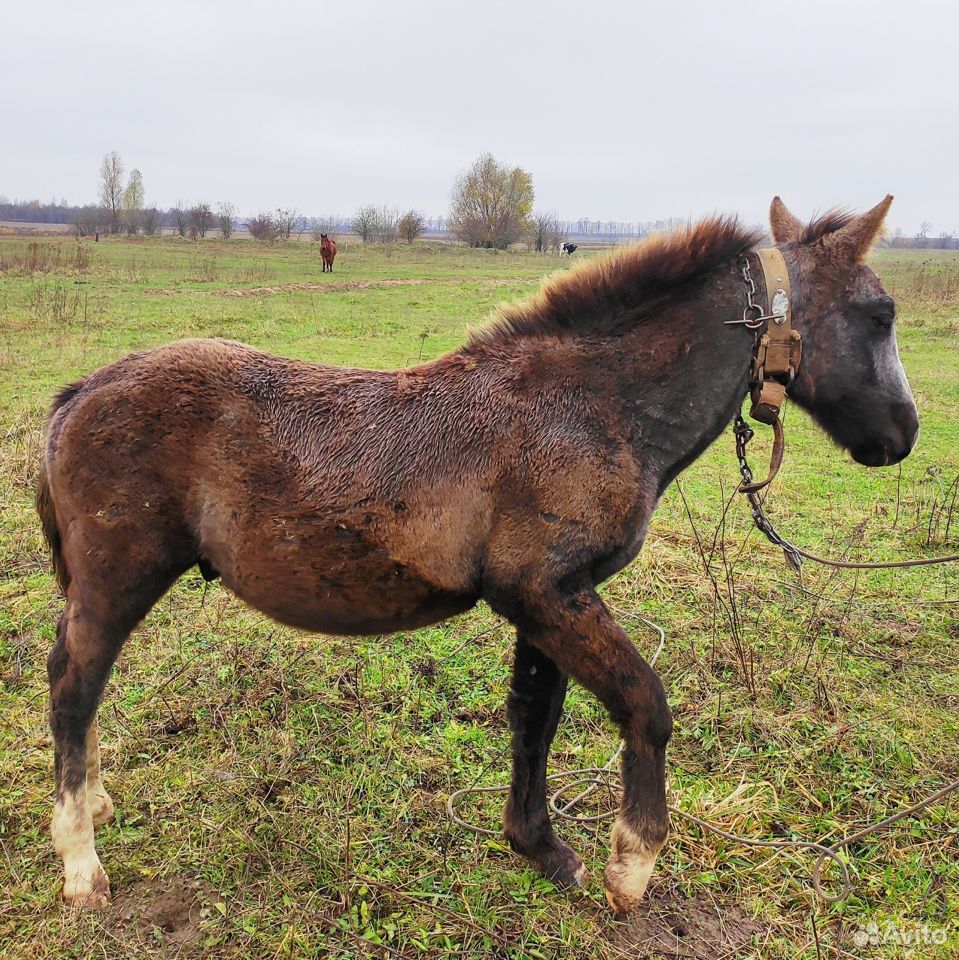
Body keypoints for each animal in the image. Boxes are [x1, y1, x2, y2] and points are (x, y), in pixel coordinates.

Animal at [39, 195, 924, 916]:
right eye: (878, 313)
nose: (902, 434)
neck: (591, 408)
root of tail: (82, 390)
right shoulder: (545, 592)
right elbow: (644, 705)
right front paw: (629, 868)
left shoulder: (547, 600)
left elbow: (535, 717)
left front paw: (540, 848)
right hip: (119, 579)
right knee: (73, 686)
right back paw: (81, 863)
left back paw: (94, 803)